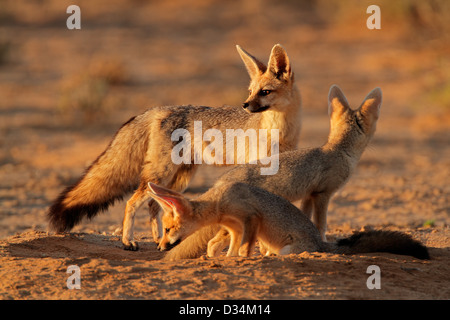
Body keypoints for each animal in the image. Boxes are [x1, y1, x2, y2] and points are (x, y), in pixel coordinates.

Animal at [147, 182, 428, 260]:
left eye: (168, 229)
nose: (160, 247)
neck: (219, 200)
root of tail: (321, 243)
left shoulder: (251, 218)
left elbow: (244, 247)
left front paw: (242, 258)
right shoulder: (234, 227)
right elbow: (227, 246)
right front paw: (225, 257)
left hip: (287, 249)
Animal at [165, 84, 384, 260]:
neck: (338, 150)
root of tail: (222, 180)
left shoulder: (308, 195)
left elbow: (306, 219)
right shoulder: (323, 194)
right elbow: (321, 225)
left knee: (214, 242)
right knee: (213, 243)